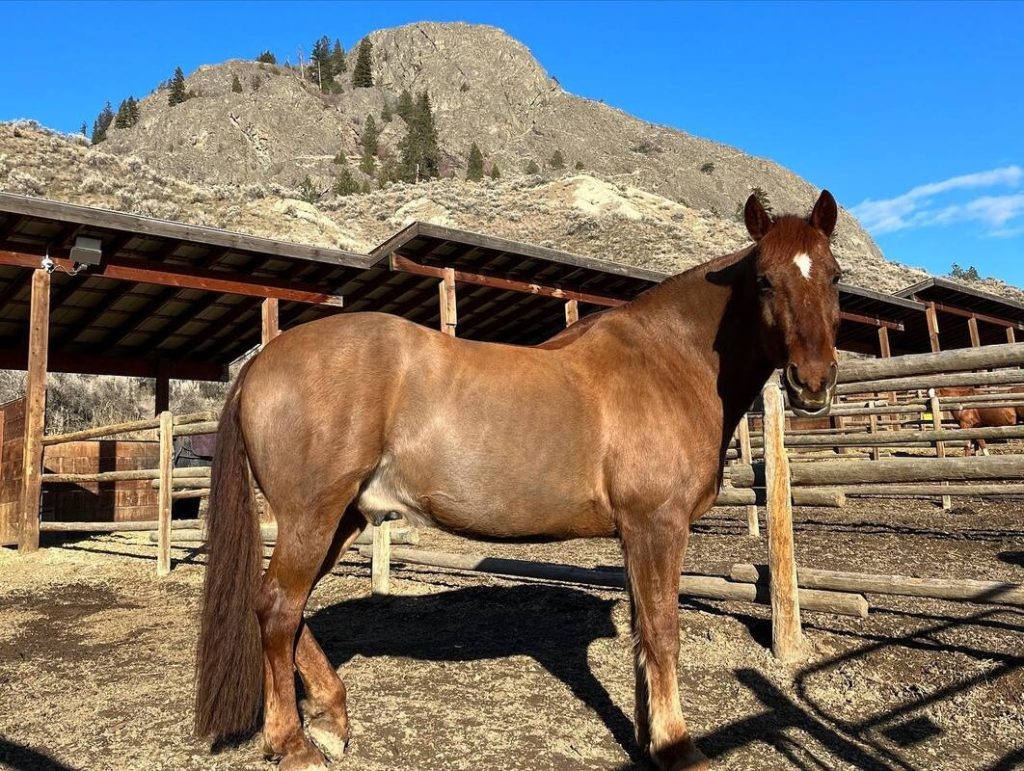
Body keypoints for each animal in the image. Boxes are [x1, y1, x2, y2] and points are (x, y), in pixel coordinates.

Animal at [194, 190, 843, 771]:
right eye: (764, 280)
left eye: (834, 277)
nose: (813, 382)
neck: (666, 363)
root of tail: (261, 362)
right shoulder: (658, 526)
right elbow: (663, 633)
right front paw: (678, 748)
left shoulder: (636, 535)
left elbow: (642, 632)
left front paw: (647, 738)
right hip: (313, 516)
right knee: (278, 608)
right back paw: (294, 744)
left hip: (342, 518)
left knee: (289, 610)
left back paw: (330, 719)